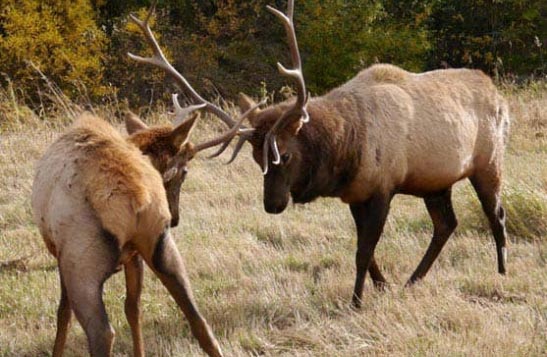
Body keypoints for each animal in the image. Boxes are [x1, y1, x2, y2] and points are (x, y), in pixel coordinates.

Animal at [225, 0, 512, 306]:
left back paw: (502, 271)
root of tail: (500, 97)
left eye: (285, 154)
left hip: (489, 162)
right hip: (435, 182)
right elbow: (366, 249)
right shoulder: (356, 194)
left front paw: (356, 300)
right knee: (446, 224)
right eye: (257, 159)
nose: (272, 204)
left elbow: (363, 251)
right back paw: (412, 280)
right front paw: (383, 285)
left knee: (496, 213)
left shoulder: (382, 189)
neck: (346, 150)